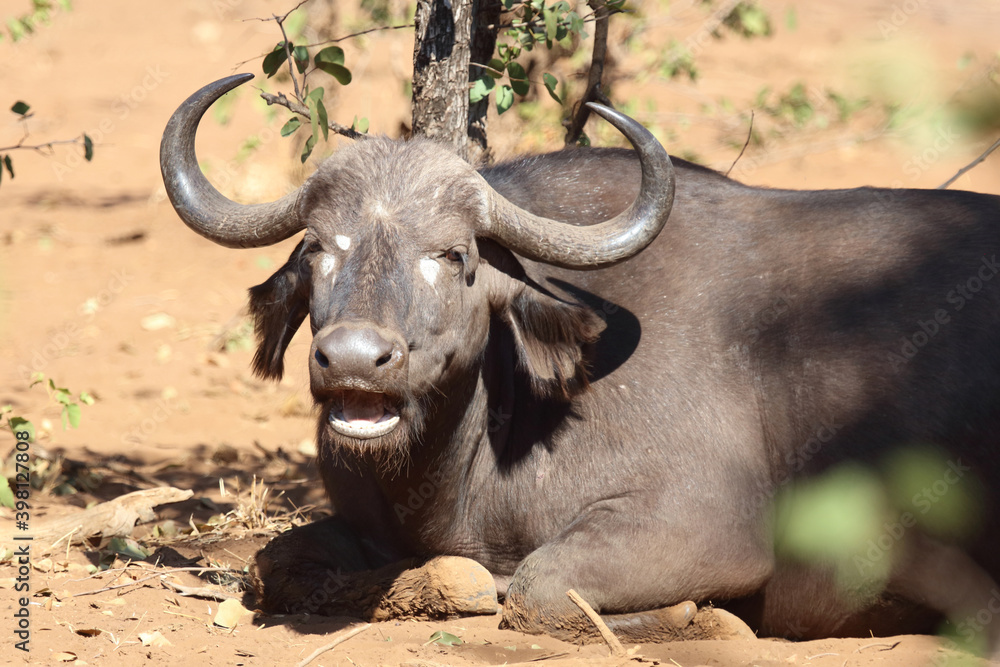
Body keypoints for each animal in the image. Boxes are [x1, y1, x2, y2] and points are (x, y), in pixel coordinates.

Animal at [160, 74, 1000, 652]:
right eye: (318, 249)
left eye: (453, 255)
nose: (355, 360)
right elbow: (274, 561)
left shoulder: (702, 524)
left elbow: (534, 587)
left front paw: (703, 618)